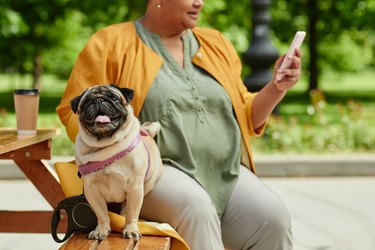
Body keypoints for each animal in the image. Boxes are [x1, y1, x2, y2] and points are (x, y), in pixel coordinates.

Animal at [71, 84, 162, 242]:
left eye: (113, 97)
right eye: (87, 102)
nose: (98, 100)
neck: (106, 146)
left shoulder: (134, 188)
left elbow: (132, 213)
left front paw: (131, 229)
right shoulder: (92, 191)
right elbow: (101, 214)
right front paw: (101, 230)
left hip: (145, 185)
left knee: (127, 209)